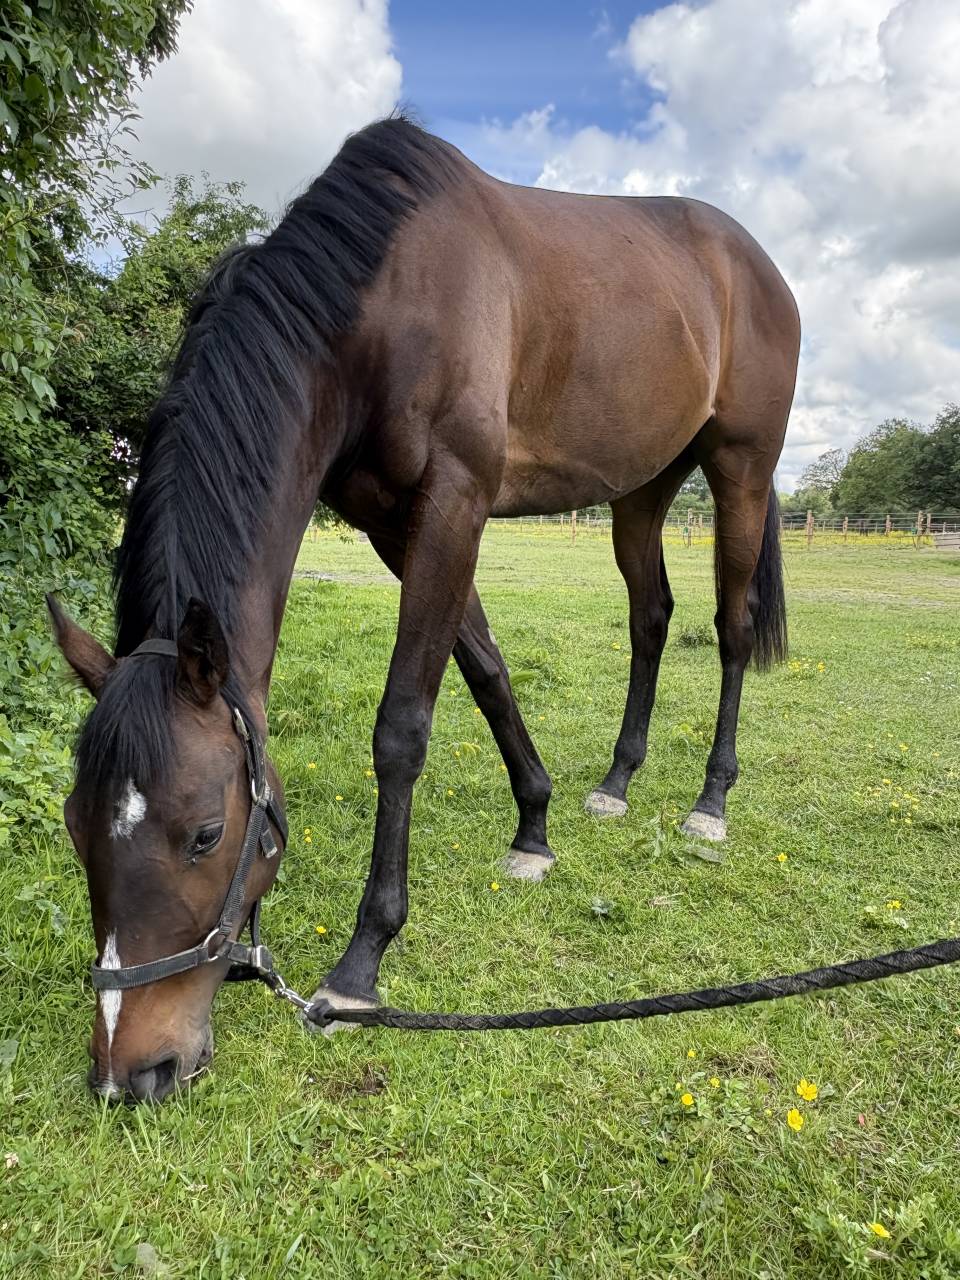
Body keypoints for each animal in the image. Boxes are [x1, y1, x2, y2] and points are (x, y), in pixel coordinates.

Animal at [49, 115, 799, 1102]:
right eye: (75, 823)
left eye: (206, 834)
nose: (130, 1073)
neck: (378, 303)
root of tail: (753, 260)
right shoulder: (393, 522)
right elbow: (485, 669)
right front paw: (535, 827)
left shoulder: (455, 500)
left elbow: (403, 726)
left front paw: (362, 962)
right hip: (642, 489)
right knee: (650, 618)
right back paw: (616, 782)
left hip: (741, 469)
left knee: (731, 630)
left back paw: (711, 798)